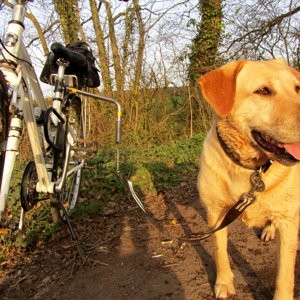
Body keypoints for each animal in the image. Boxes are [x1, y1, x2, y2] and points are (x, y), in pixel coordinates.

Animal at [197, 59, 300, 300]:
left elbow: (285, 274)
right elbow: (220, 251)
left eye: (297, 88)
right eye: (263, 91)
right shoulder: (216, 212)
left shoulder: (289, 221)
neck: (251, 168)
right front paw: (224, 283)